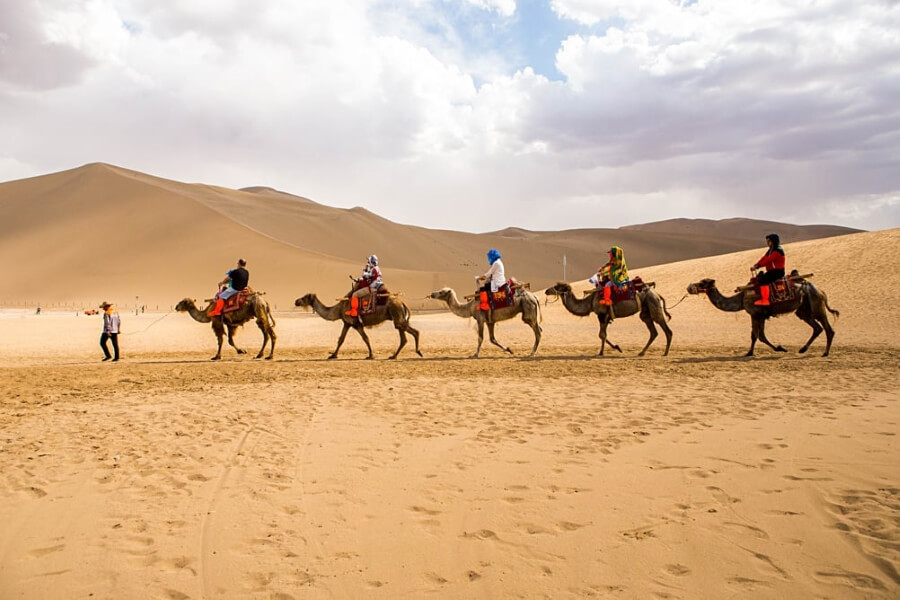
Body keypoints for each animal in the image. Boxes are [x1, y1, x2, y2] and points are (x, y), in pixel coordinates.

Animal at [294, 292, 424, 358]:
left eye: (304, 297)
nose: (296, 301)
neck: (338, 309)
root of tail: (402, 303)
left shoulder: (356, 324)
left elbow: (365, 338)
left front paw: (371, 355)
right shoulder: (347, 323)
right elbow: (341, 339)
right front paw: (333, 355)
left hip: (396, 315)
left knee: (413, 332)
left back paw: (417, 351)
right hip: (397, 317)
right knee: (404, 337)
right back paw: (394, 356)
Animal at [544, 282, 672, 356]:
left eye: (558, 287)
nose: (546, 290)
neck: (590, 302)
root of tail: (657, 294)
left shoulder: (601, 315)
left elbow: (602, 335)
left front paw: (601, 352)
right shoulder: (606, 317)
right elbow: (602, 334)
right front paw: (617, 348)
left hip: (653, 306)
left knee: (667, 330)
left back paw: (665, 353)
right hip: (646, 312)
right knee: (653, 332)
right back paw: (641, 352)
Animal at [688, 278, 836, 356]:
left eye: (702, 282)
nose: (689, 287)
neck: (740, 299)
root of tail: (822, 291)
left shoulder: (755, 314)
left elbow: (755, 335)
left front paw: (749, 352)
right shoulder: (762, 315)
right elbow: (762, 336)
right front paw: (780, 348)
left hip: (817, 304)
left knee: (828, 329)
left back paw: (825, 353)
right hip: (803, 310)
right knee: (817, 328)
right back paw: (803, 349)